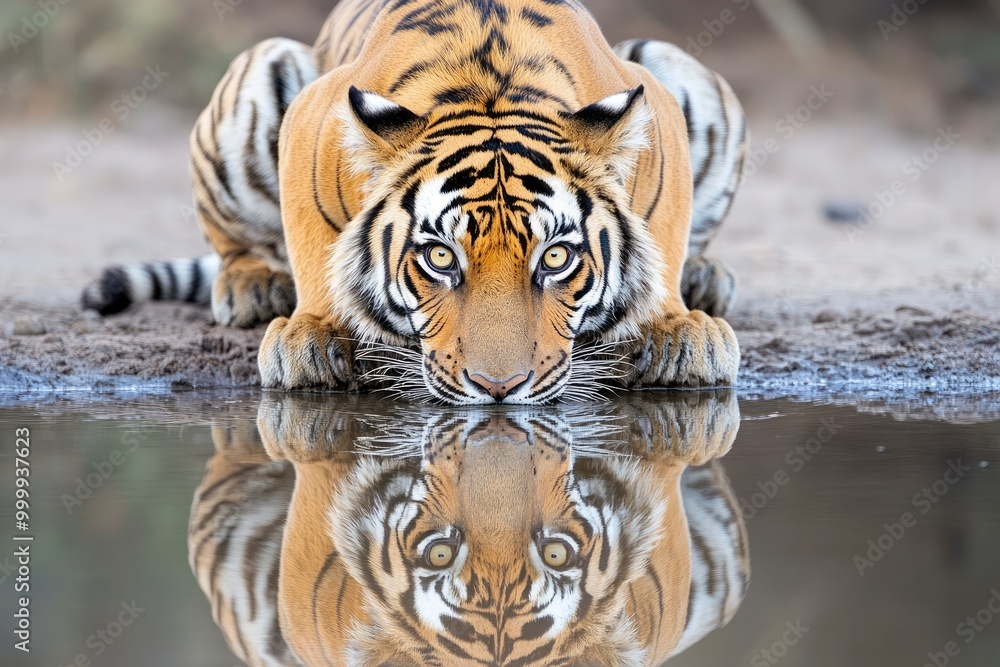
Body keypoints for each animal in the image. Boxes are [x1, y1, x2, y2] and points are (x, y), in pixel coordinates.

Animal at [84, 0, 747, 404]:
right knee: (237, 241)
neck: (491, 87)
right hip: (263, 69)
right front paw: (312, 337)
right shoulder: (313, 116)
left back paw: (704, 277)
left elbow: (665, 229)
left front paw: (680, 332)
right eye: (441, 259)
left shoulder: (659, 108)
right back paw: (255, 285)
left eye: (556, 258)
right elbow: (315, 241)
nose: (498, 389)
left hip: (673, 61)